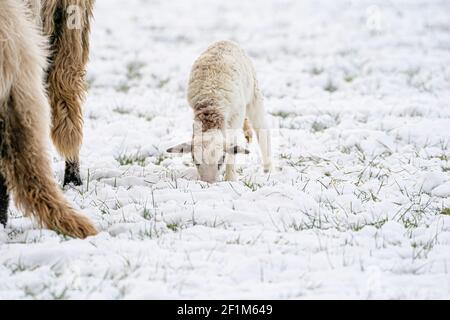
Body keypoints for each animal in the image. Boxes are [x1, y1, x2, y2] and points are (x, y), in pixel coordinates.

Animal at [168, 40, 270, 182]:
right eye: (195, 161)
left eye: (221, 160)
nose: (208, 183)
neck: (211, 108)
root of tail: (226, 41)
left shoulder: (236, 115)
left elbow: (232, 146)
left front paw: (230, 178)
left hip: (253, 94)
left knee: (262, 129)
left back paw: (268, 170)